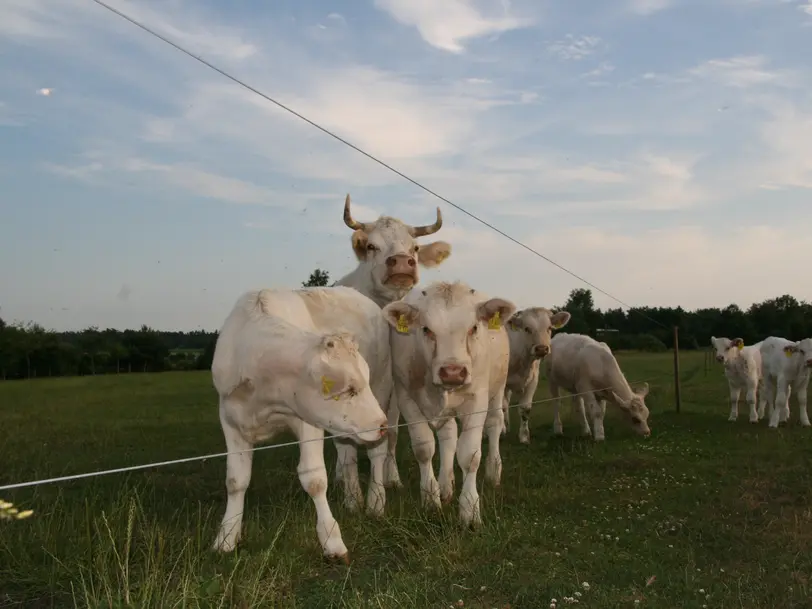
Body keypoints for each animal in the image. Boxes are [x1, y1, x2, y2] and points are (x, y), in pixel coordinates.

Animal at [211, 284, 392, 560]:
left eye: (364, 382)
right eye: (349, 389)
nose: (382, 425)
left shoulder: (309, 422)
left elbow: (314, 479)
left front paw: (332, 540)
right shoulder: (230, 420)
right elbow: (235, 481)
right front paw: (227, 537)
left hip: (384, 390)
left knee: (377, 455)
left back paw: (376, 502)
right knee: (347, 454)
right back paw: (353, 500)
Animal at [332, 194, 456, 498]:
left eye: (415, 247)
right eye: (372, 246)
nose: (401, 262)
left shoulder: (393, 386)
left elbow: (392, 433)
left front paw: (392, 479)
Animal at [380, 280, 512, 528]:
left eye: (474, 328)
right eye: (426, 329)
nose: (453, 372)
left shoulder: (477, 399)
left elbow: (470, 455)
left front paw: (470, 509)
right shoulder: (406, 397)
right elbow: (424, 449)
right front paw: (431, 498)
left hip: (498, 388)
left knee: (495, 423)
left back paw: (493, 471)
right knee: (448, 436)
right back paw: (445, 485)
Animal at [502, 308, 572, 442]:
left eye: (549, 328)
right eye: (527, 328)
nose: (542, 349)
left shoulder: (533, 380)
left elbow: (525, 408)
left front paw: (524, 436)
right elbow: (500, 407)